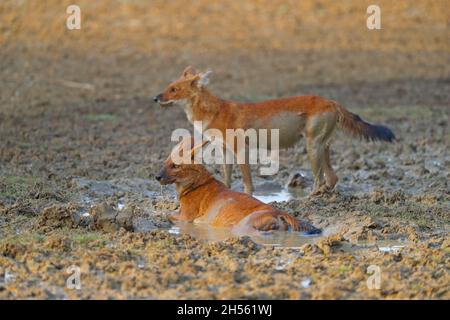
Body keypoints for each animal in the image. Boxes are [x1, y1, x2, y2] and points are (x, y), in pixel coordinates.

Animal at [154, 67, 394, 195]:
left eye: (174, 89)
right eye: (167, 86)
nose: (155, 98)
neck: (213, 111)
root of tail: (332, 101)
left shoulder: (241, 150)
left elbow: (248, 183)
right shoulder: (225, 151)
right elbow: (227, 180)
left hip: (312, 147)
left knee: (319, 179)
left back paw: (309, 201)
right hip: (322, 147)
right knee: (332, 178)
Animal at [155, 138, 320, 235]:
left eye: (176, 166)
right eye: (165, 163)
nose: (157, 177)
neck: (196, 184)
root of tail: (280, 211)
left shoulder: (185, 217)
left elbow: (166, 213)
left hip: (243, 226)